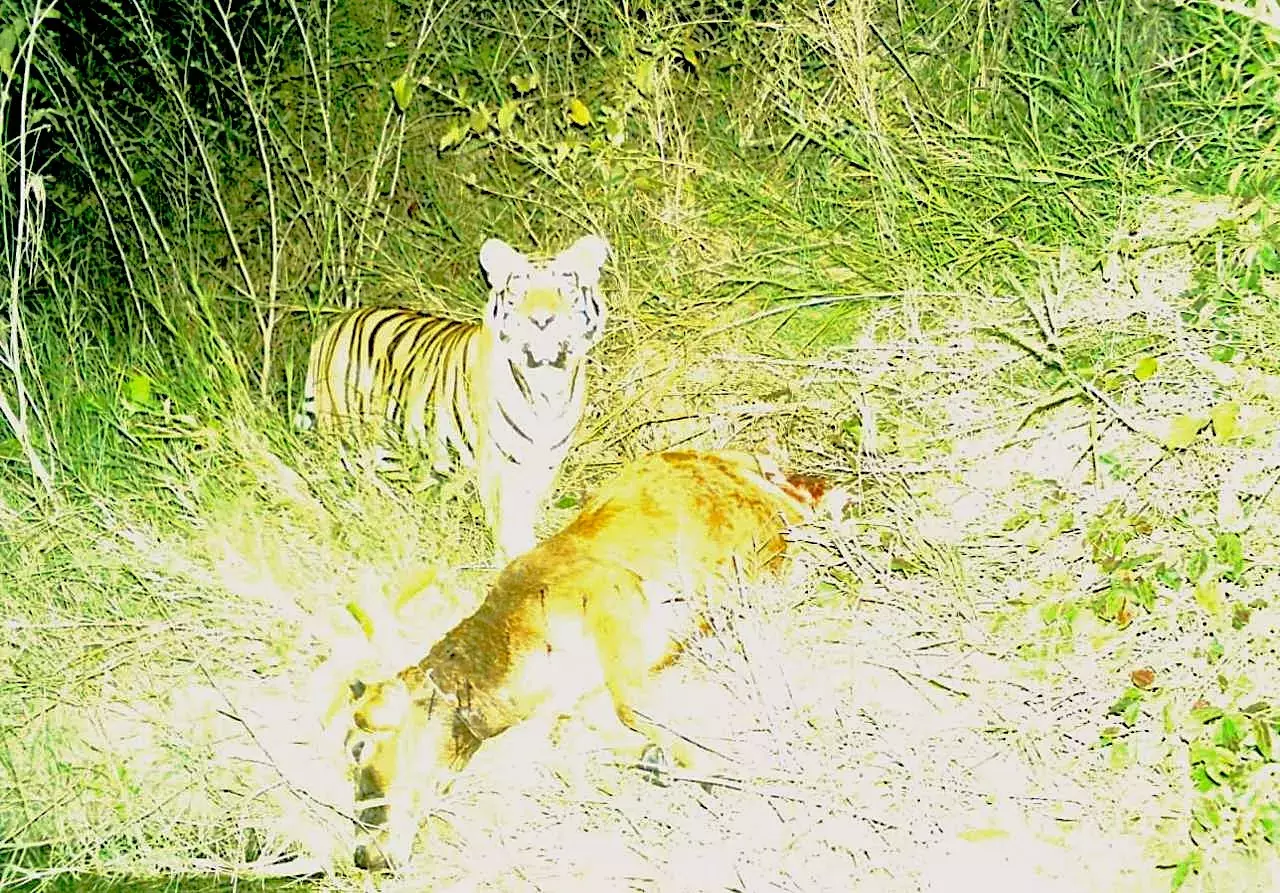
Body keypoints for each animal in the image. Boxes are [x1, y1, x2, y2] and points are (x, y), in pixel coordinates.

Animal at [296, 234, 610, 560]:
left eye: (567, 287)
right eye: (517, 290)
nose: (542, 320)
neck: (548, 382)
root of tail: (333, 328)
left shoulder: (547, 462)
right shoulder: (497, 464)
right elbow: (509, 521)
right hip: (345, 442)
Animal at [344, 449, 831, 872]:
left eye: (359, 751)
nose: (363, 856)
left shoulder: (613, 599)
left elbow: (632, 708)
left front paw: (719, 766)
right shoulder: (581, 694)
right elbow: (579, 738)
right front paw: (656, 758)